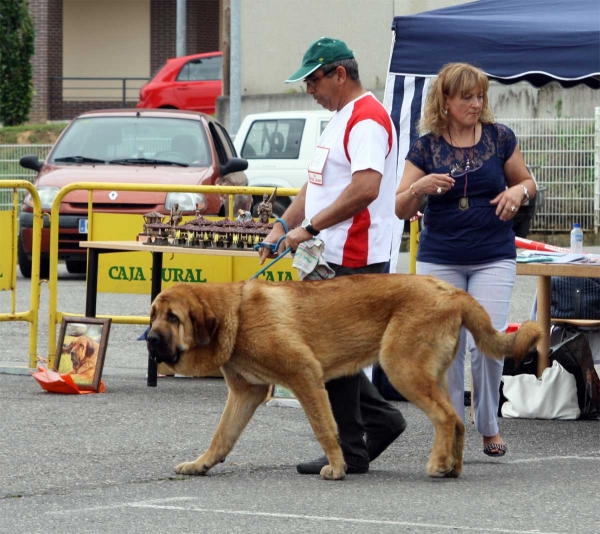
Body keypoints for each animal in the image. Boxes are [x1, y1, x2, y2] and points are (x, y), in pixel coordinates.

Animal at [148, 276, 540, 482]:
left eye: (173, 318)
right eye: (152, 315)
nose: (150, 339)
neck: (236, 315)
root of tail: (454, 292)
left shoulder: (305, 375)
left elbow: (324, 427)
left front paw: (337, 467)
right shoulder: (246, 393)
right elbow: (222, 436)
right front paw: (201, 464)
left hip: (402, 369)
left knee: (445, 418)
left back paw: (437, 465)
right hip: (430, 375)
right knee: (456, 419)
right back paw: (451, 467)